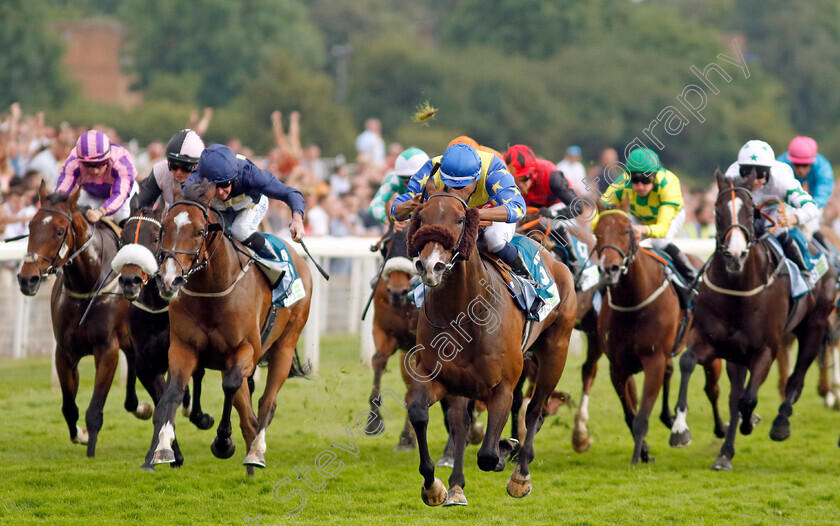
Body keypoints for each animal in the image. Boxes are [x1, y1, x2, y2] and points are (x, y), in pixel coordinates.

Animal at [16, 184, 148, 460]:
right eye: (31, 226)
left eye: (59, 230)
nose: (27, 279)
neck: (87, 285)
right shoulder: (64, 351)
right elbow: (69, 407)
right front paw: (81, 434)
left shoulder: (107, 349)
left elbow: (95, 408)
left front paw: (90, 447)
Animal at [113, 192, 215, 472]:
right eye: (123, 237)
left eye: (155, 238)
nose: (130, 280)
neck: (158, 309)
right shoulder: (146, 364)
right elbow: (162, 405)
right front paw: (167, 454)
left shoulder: (177, 352)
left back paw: (200, 415)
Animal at [147, 183, 312, 478]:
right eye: (163, 228)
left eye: (200, 231)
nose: (169, 280)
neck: (212, 289)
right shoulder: (183, 347)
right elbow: (174, 390)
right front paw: (164, 448)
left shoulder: (244, 349)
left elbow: (231, 385)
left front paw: (223, 442)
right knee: (248, 410)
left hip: (285, 344)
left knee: (266, 402)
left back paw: (256, 452)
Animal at [402, 190, 576, 508]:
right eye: (421, 217)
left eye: (460, 219)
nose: (430, 266)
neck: (461, 312)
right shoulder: (439, 378)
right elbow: (423, 414)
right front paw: (435, 487)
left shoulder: (502, 387)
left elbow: (487, 455)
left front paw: (506, 450)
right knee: (461, 423)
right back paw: (457, 486)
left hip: (556, 350)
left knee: (535, 410)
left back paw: (520, 475)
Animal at [672, 171, 836, 472]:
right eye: (717, 210)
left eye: (750, 212)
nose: (735, 255)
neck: (738, 289)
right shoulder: (712, 341)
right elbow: (689, 363)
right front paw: (680, 429)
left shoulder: (765, 349)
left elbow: (748, 399)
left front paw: (751, 422)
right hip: (738, 353)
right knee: (736, 393)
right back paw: (725, 452)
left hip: (815, 325)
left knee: (797, 376)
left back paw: (781, 423)